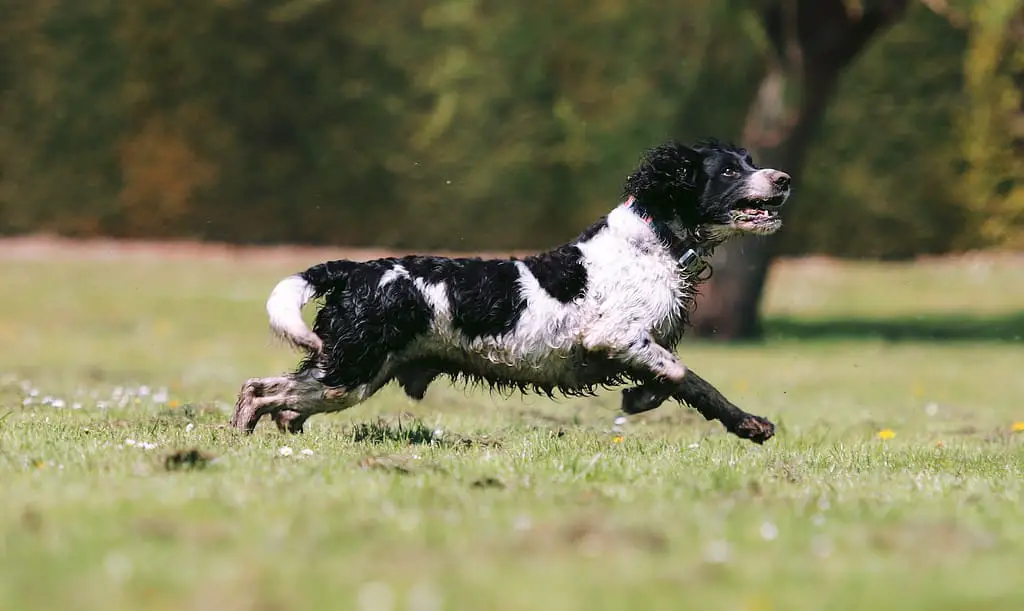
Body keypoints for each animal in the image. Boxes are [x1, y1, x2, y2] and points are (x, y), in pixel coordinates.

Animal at [232, 139, 790, 444]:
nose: (783, 178)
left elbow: (694, 386)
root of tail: (354, 271)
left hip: (355, 372)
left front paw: (750, 425)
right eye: (728, 170)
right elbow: (677, 374)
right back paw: (239, 439)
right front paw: (637, 399)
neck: (654, 240)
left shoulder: (644, 344)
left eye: (750, 159)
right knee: (257, 390)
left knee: (285, 403)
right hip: (349, 370)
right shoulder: (614, 337)